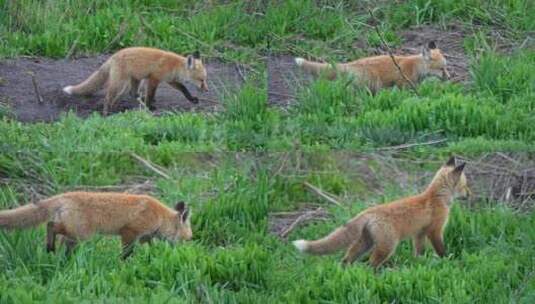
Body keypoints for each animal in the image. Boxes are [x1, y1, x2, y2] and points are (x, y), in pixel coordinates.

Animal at [0, 191, 193, 258]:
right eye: (188, 239)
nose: (184, 252)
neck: (159, 217)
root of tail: (65, 195)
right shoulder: (129, 232)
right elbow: (126, 253)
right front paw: (123, 263)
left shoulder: (144, 236)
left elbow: (150, 247)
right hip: (81, 233)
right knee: (50, 225)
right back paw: (50, 248)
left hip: (74, 235)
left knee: (59, 236)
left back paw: (56, 254)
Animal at [61, 47, 207, 114]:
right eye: (201, 80)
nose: (206, 89)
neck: (174, 66)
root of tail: (113, 56)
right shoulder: (154, 78)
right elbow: (150, 95)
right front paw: (149, 107)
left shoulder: (170, 80)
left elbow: (184, 89)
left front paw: (192, 99)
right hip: (120, 84)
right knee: (108, 97)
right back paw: (107, 112)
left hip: (134, 80)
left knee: (131, 94)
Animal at [294, 158, 474, 270]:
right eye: (465, 185)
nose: (470, 195)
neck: (436, 197)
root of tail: (369, 210)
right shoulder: (435, 231)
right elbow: (441, 250)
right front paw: (449, 261)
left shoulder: (419, 234)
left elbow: (418, 253)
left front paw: (419, 265)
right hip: (387, 246)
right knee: (371, 264)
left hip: (365, 244)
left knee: (347, 259)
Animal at [296, 41, 450, 92]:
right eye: (441, 69)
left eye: (446, 68)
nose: (449, 77)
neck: (416, 67)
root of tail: (351, 63)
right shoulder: (403, 84)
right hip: (372, 83)